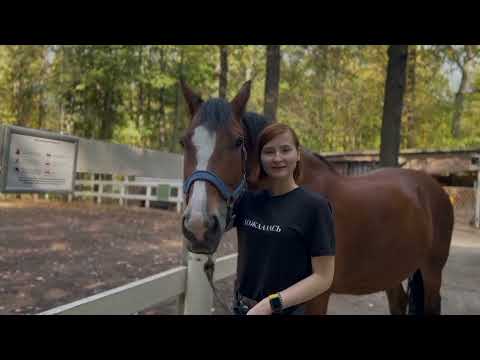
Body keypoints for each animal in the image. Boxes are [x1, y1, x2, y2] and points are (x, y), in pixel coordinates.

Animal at [179, 80, 454, 314]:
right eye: (183, 143)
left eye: (238, 142)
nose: (199, 226)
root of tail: (432, 186)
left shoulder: (318, 296)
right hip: (392, 271)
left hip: (432, 273)